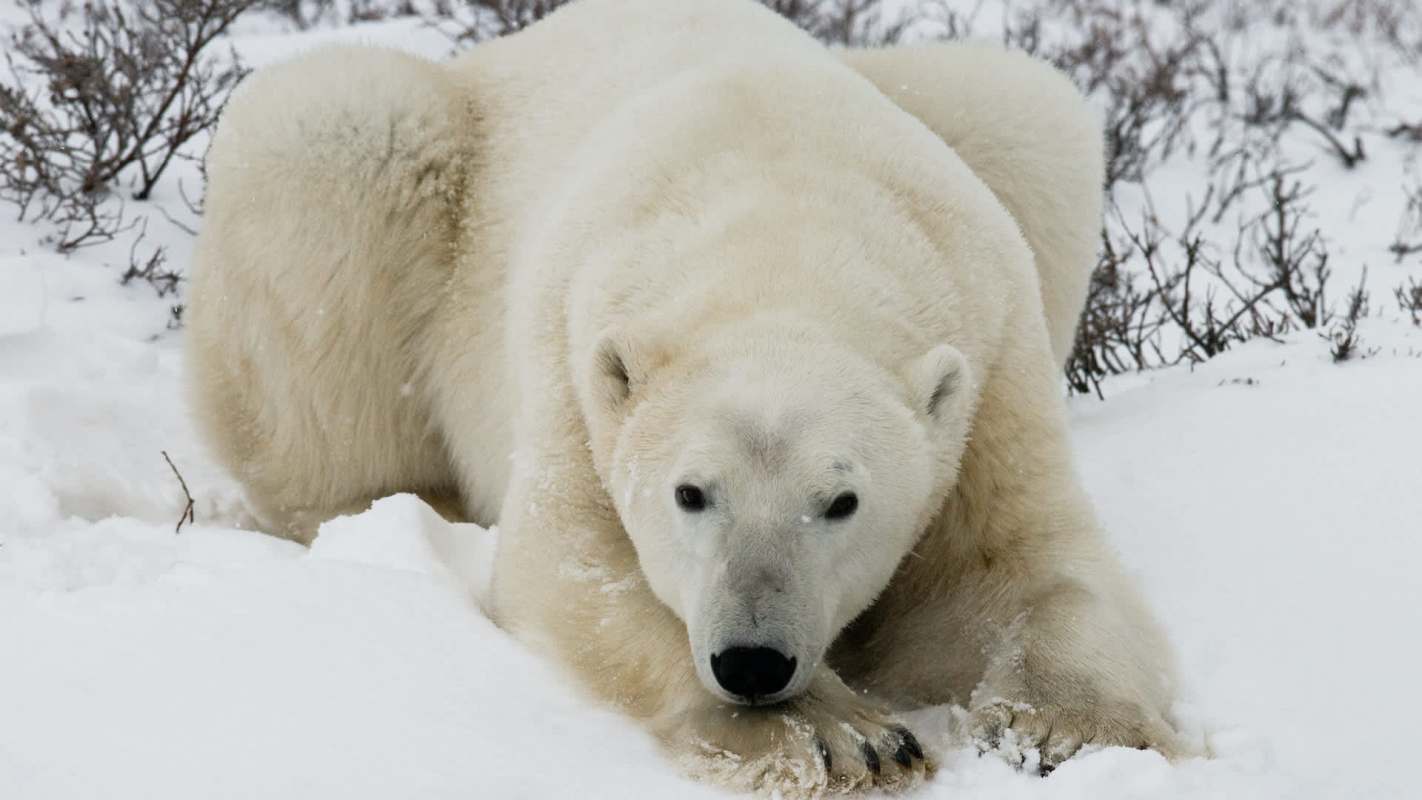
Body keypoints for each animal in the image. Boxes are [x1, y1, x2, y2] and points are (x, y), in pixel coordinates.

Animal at [186, 0, 1183, 795]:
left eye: (843, 500)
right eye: (690, 493)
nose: (752, 660)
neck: (786, 227)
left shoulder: (990, 357)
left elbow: (1013, 564)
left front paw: (1070, 727)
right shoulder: (576, 357)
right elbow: (577, 568)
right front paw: (844, 737)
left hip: (991, 128)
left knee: (1027, 103)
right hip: (388, 171)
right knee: (330, 142)